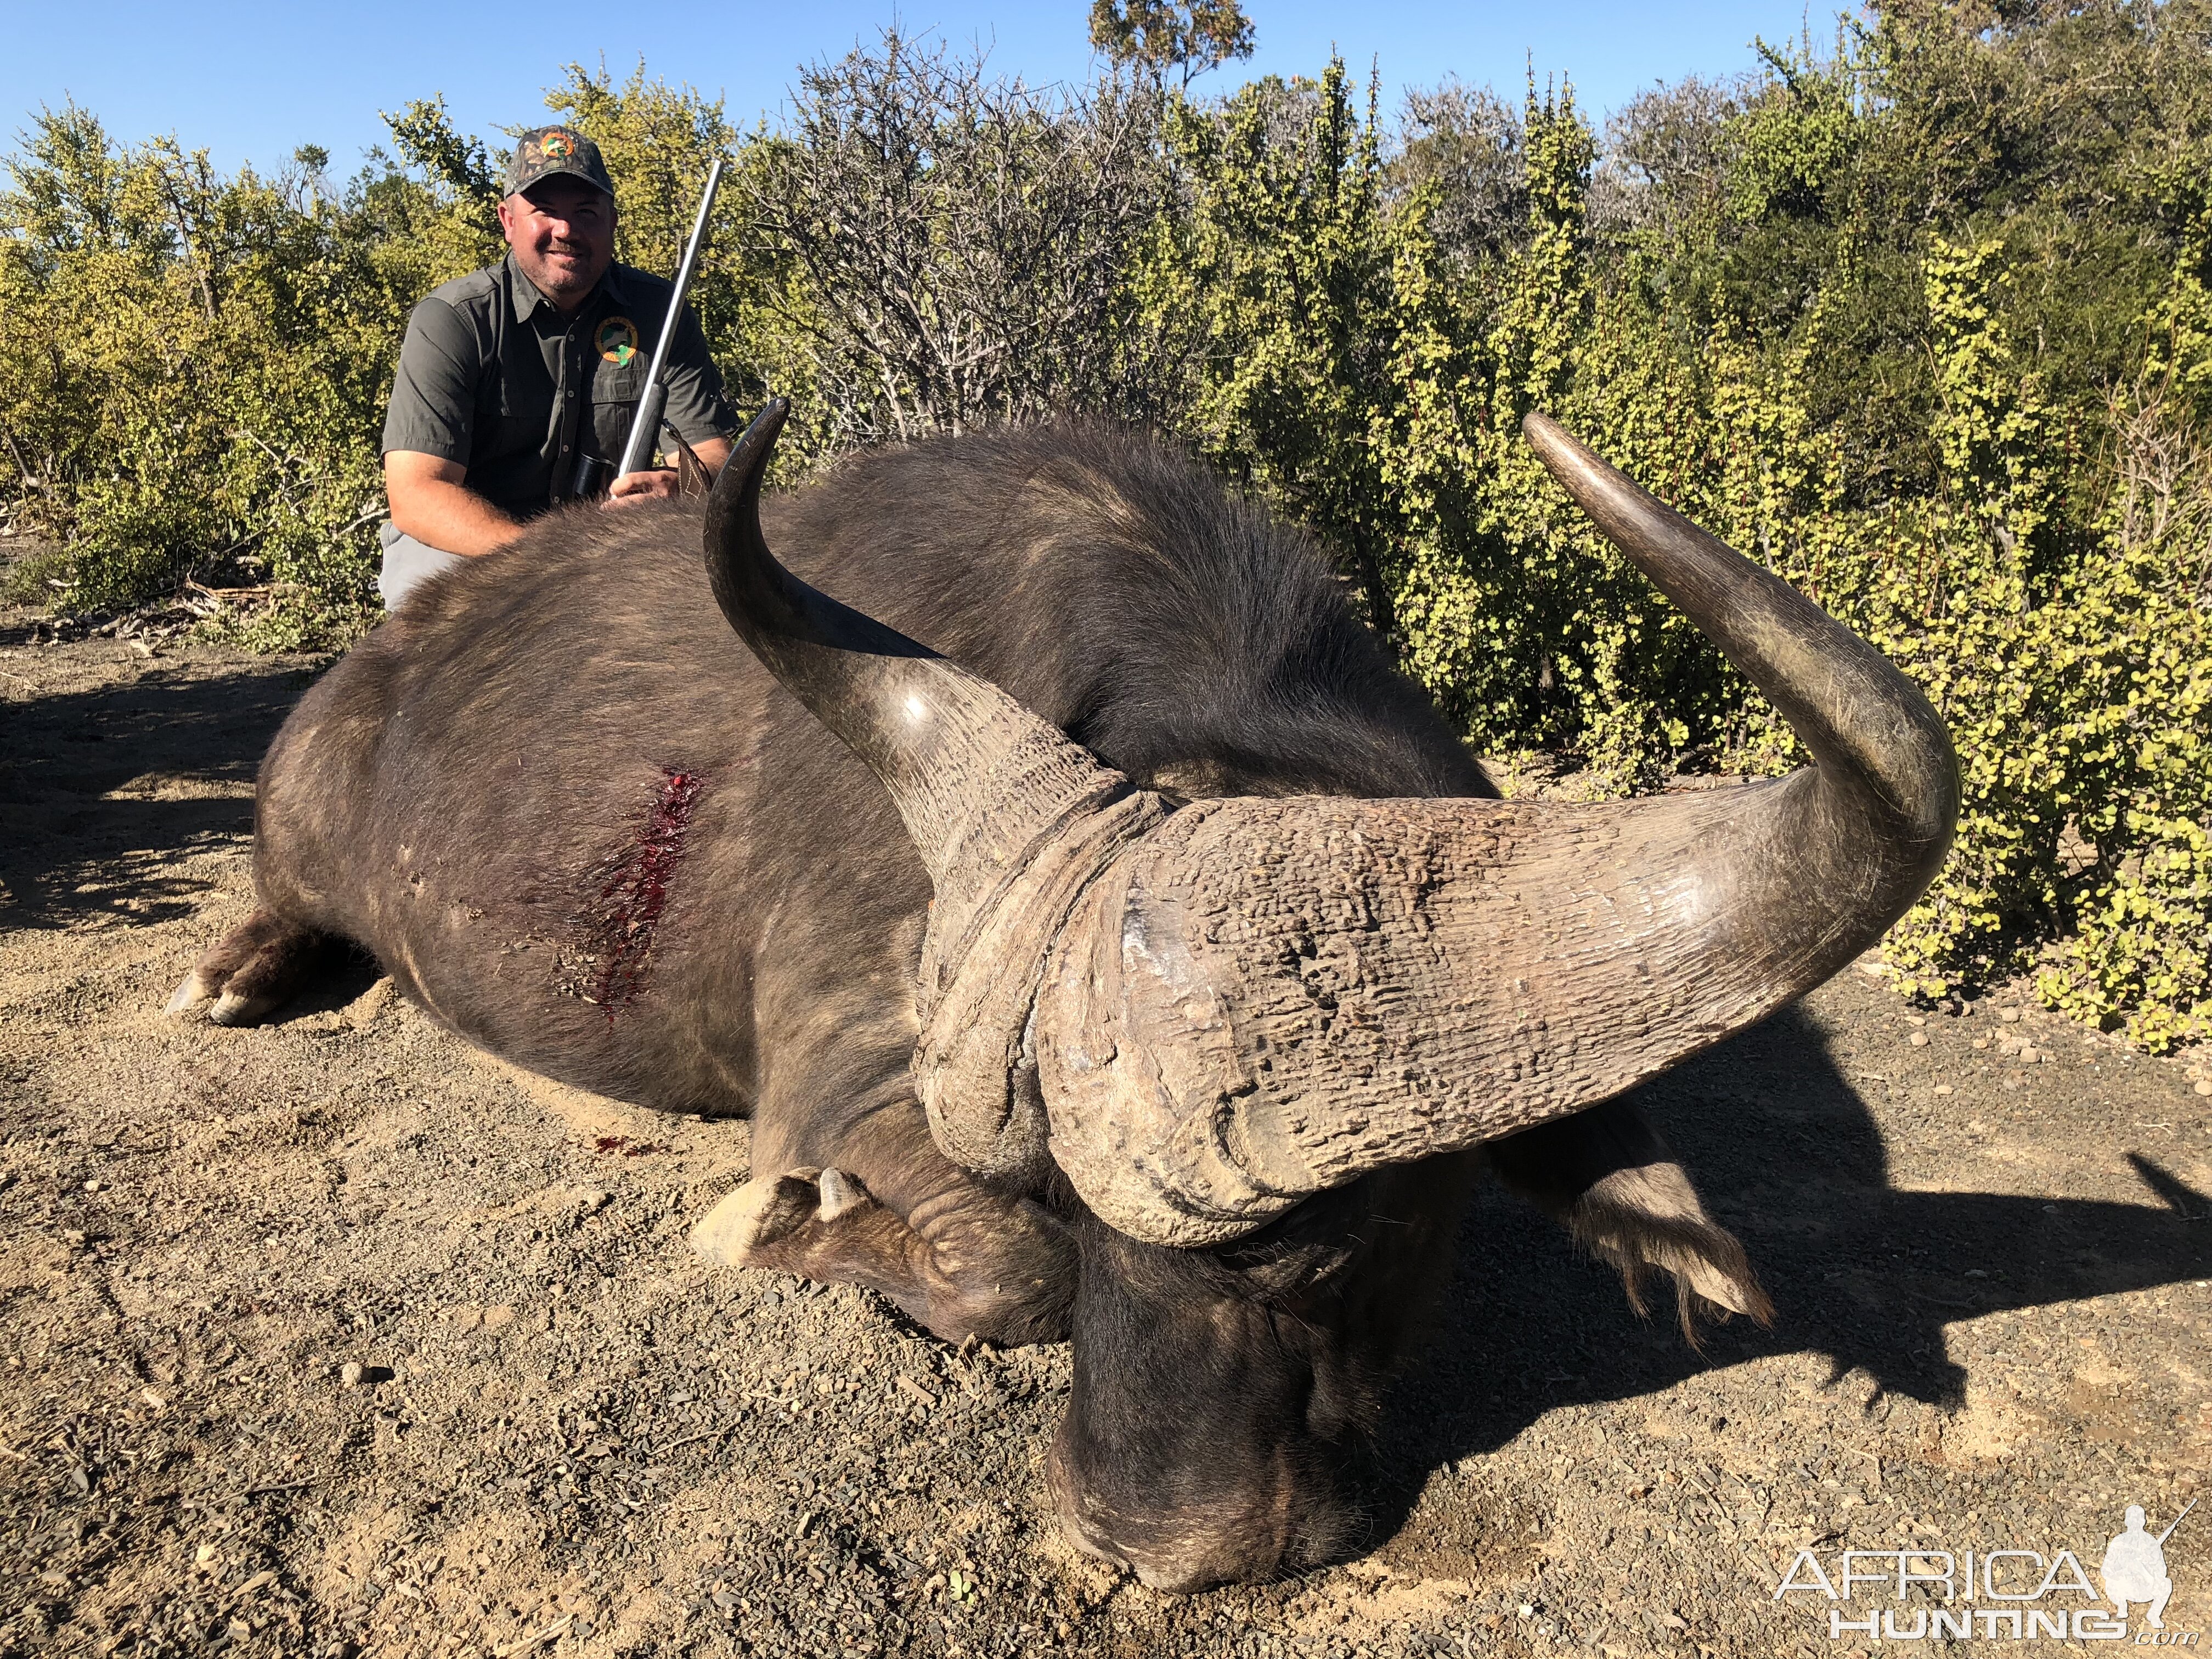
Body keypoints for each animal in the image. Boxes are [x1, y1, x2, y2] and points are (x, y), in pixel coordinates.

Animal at [181, 407, 1964, 1601]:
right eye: (1062, 1196)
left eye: (1319, 1248)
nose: (1136, 1546)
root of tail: (369, 676)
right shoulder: (836, 1085)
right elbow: (998, 1274)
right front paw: (773, 1227)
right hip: (296, 840)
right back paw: (232, 969)